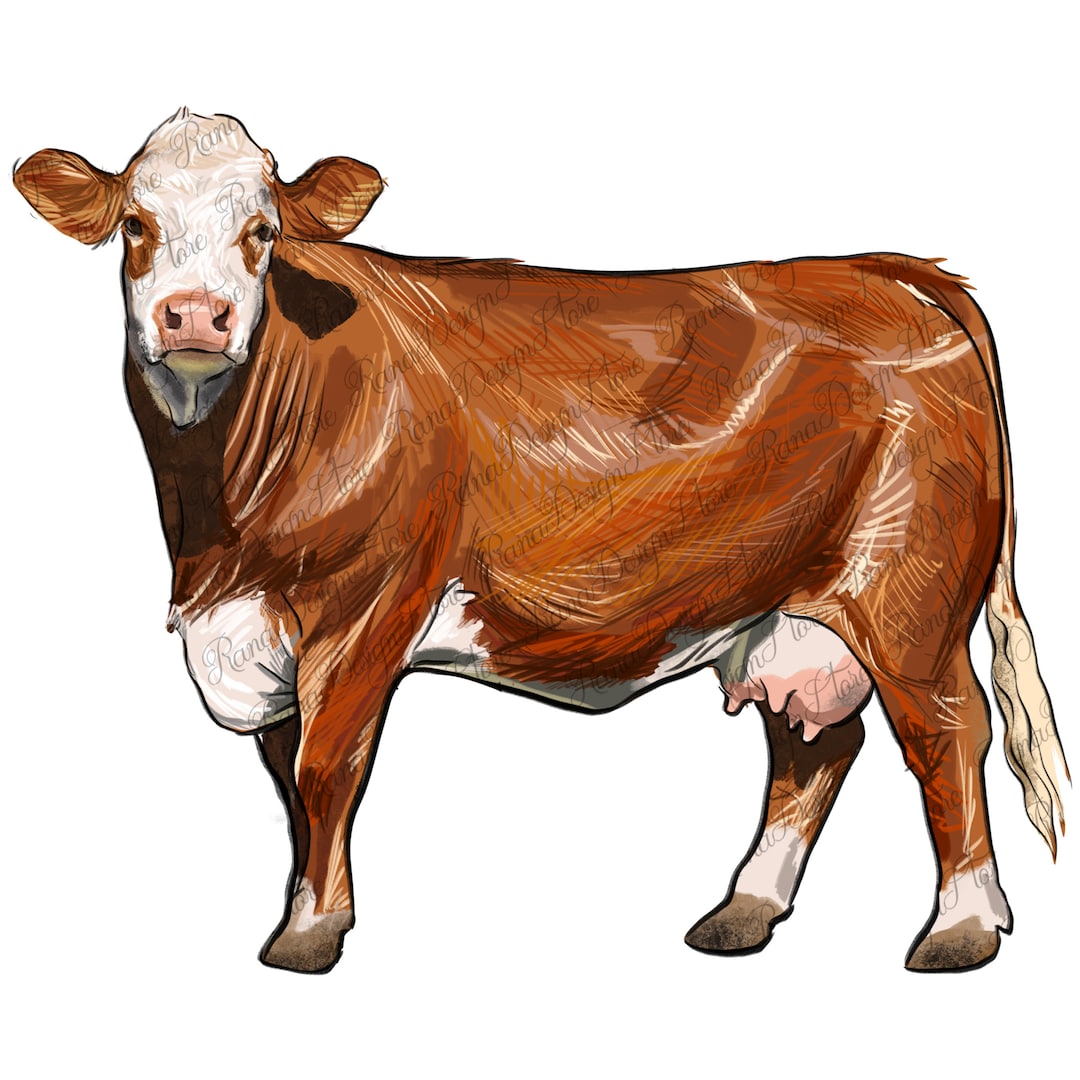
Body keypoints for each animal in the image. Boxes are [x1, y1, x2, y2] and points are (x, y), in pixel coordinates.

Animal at [14, 108, 1068, 974]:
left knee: (947, 729)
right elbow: (288, 780)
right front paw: (305, 911)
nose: (195, 315)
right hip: (788, 605)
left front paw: (311, 933)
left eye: (262, 231)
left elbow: (325, 768)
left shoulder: (362, 610)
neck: (219, 531)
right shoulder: (258, 631)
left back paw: (963, 926)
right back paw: (744, 911)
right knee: (814, 743)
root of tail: (887, 268)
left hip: (910, 589)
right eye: (136, 225)